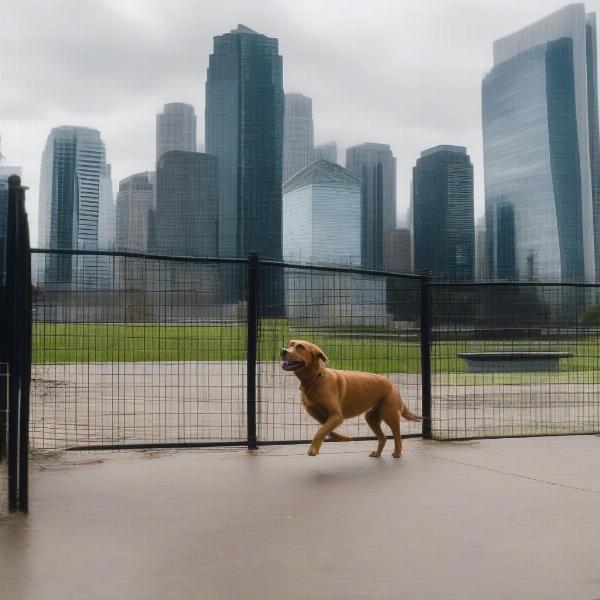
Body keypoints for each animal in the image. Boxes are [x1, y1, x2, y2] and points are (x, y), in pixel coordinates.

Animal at [282, 340, 422, 458]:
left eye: (300, 347)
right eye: (289, 344)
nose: (283, 351)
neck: (316, 378)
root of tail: (392, 385)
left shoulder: (337, 416)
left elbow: (321, 431)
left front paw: (313, 449)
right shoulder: (321, 417)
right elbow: (326, 430)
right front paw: (344, 438)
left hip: (390, 415)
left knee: (397, 436)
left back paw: (397, 453)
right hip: (371, 418)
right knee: (383, 438)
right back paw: (377, 453)